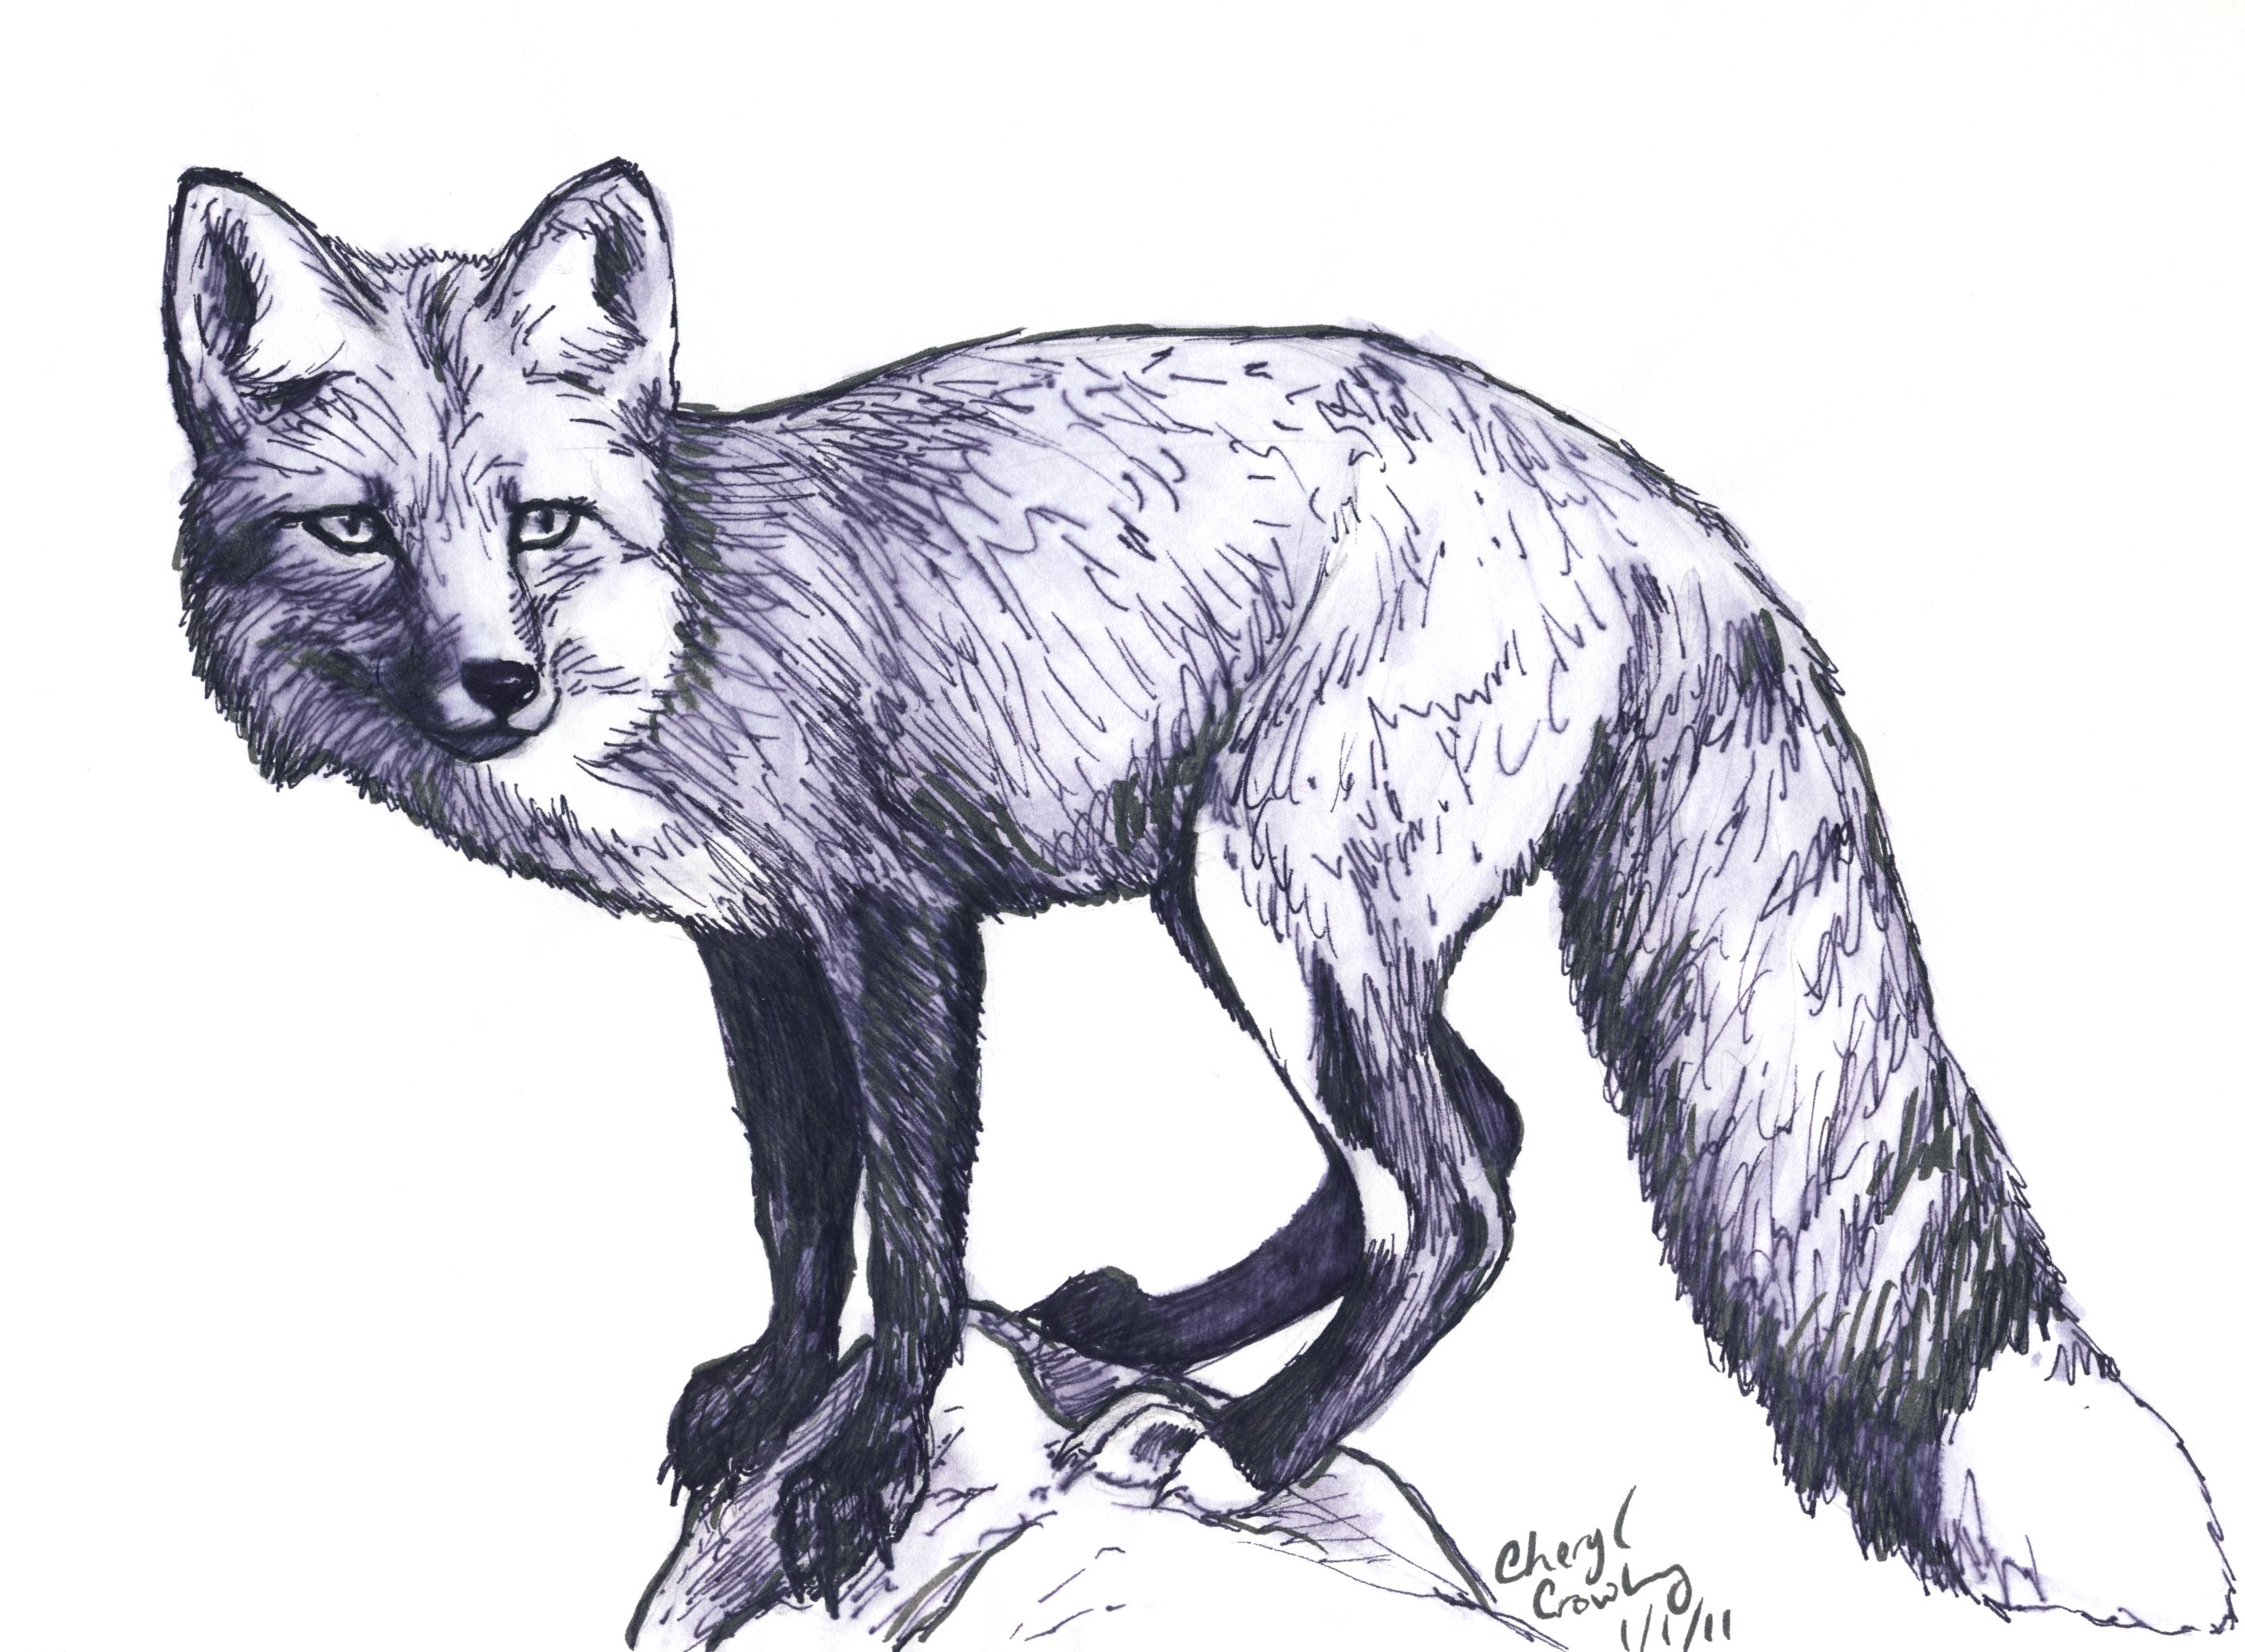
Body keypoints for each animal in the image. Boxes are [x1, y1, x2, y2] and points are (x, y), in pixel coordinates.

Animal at [163, 158, 2230, 1634]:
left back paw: (1253, 1446)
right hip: (1235, 910)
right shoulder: (753, 948)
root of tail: (1657, 508)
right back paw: (1166, 1337)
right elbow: (798, 1212)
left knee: (1457, 1197)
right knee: (1462, 1137)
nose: (490, 687)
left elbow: (911, 1236)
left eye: (536, 524)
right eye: (357, 531)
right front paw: (772, 1400)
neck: (687, 619)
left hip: (1273, 901)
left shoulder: (897, 924)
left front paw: (863, 1470)